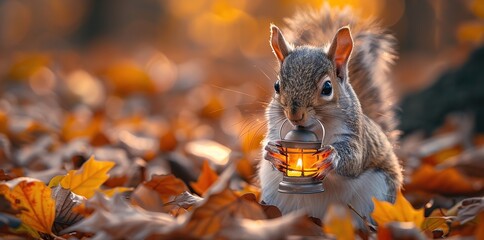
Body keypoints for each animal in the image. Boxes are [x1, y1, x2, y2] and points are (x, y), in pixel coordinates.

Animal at [260, 5, 402, 227]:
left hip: (377, 196)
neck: (316, 128)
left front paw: (332, 157)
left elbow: (354, 159)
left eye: (327, 88)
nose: (294, 115)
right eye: (277, 86)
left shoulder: (355, 135)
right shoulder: (275, 126)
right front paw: (272, 151)